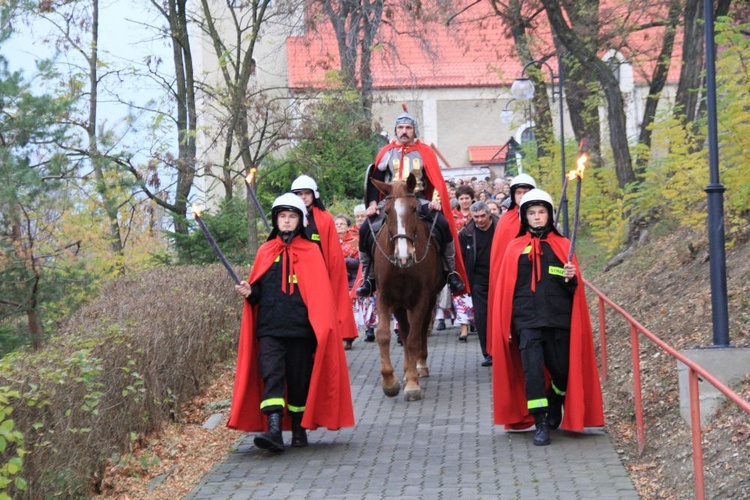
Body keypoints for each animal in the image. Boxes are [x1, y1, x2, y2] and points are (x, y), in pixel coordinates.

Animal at [370, 174, 446, 400]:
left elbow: (413, 339)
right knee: (404, 331)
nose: (404, 256)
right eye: (386, 212)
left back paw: (419, 366)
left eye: (414, 209)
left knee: (419, 331)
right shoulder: (385, 298)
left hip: (427, 300)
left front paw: (412, 384)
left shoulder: (421, 299)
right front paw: (390, 382)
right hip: (400, 304)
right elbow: (384, 335)